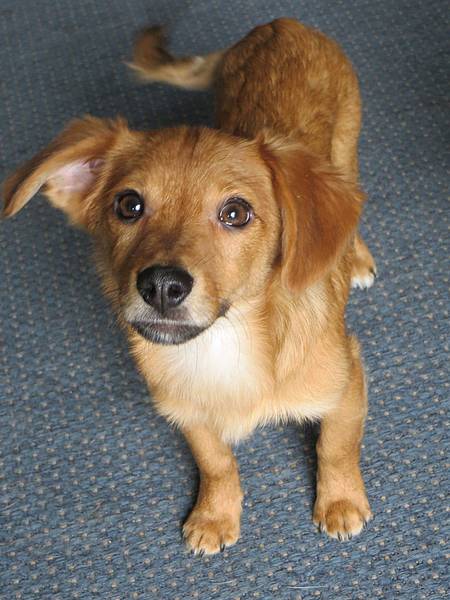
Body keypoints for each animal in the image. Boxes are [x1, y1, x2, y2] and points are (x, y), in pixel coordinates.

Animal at [3, 18, 375, 554]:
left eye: (236, 213)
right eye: (129, 205)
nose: (161, 285)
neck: (224, 346)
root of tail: (280, 24)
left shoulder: (348, 384)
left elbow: (336, 447)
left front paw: (341, 501)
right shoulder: (186, 412)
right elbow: (215, 461)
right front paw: (215, 514)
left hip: (346, 148)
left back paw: (358, 256)